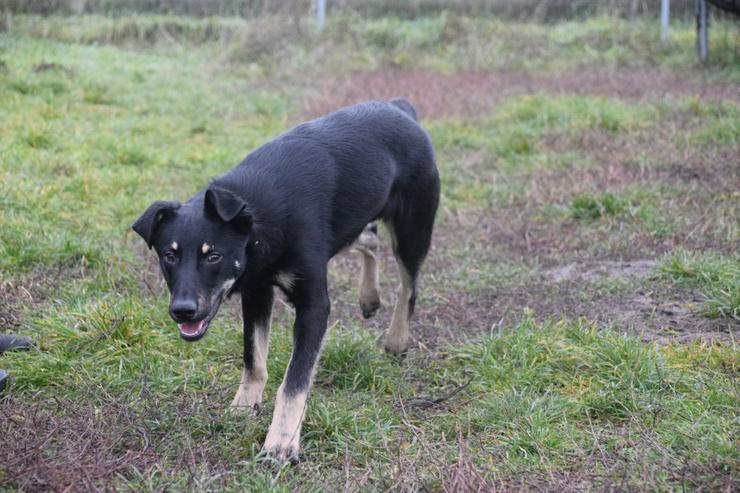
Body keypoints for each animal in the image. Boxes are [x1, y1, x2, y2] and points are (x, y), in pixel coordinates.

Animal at [133, 100, 440, 462]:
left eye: (213, 256)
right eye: (169, 256)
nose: (182, 311)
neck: (256, 224)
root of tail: (399, 107)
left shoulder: (314, 306)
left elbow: (294, 382)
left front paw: (280, 441)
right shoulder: (256, 291)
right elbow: (253, 359)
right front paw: (243, 407)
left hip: (413, 230)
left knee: (409, 286)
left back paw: (396, 339)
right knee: (369, 239)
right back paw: (369, 296)